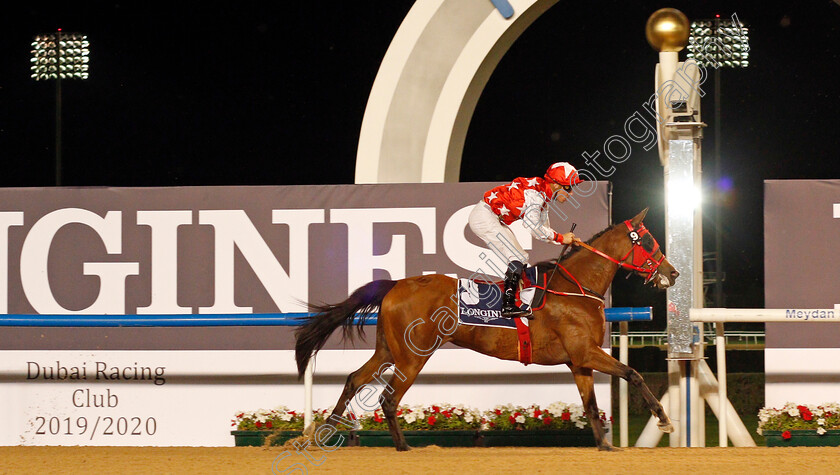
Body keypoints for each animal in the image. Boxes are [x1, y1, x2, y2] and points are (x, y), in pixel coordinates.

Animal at [294, 208, 676, 450]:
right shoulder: (587, 352)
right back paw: (402, 447)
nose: (672, 273)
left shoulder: (578, 361)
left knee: (354, 379)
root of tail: (398, 284)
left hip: (389, 350)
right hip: (412, 357)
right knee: (388, 398)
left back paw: (321, 433)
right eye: (647, 240)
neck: (576, 288)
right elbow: (633, 374)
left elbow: (592, 405)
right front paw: (663, 419)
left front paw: (605, 447)